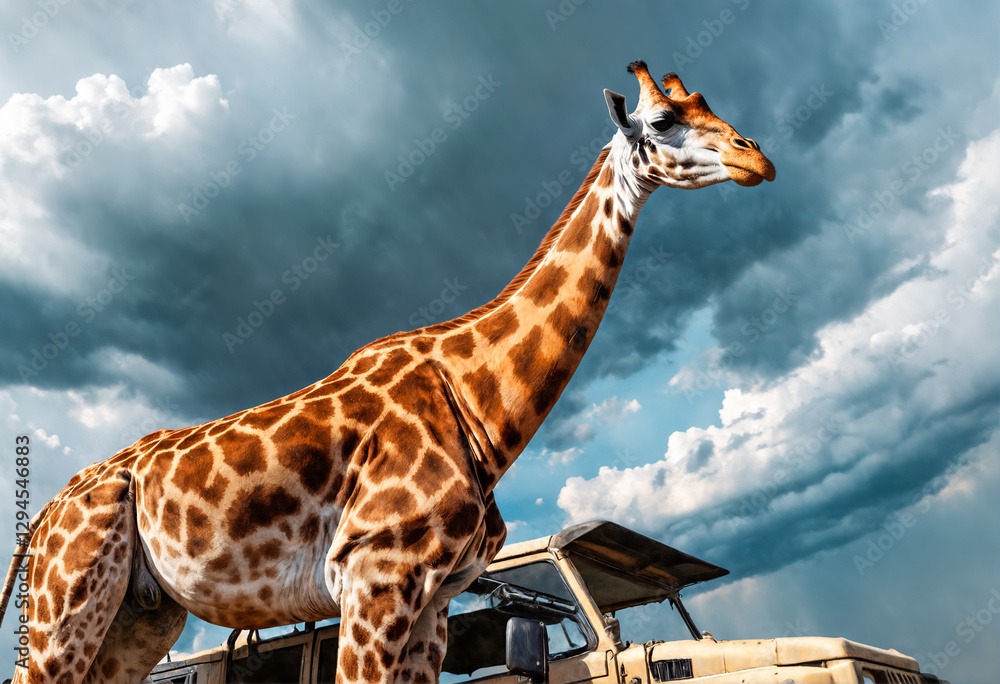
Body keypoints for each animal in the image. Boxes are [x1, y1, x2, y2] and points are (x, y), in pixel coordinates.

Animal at [0, 61, 773, 683]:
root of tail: (44, 514)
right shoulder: (374, 575)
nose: (757, 158)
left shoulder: (435, 595)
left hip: (142, 612)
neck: (479, 405)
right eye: (665, 120)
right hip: (67, 599)